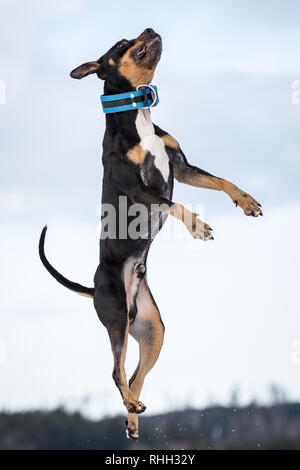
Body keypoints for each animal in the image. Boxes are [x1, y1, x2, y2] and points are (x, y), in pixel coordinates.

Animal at [39, 28, 262, 440]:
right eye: (121, 43)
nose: (149, 29)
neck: (137, 115)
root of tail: (96, 286)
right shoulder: (138, 187)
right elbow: (172, 203)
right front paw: (196, 225)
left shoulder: (182, 167)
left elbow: (221, 181)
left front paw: (246, 201)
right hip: (115, 319)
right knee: (116, 371)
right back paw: (130, 405)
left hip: (151, 329)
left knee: (134, 376)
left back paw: (132, 414)